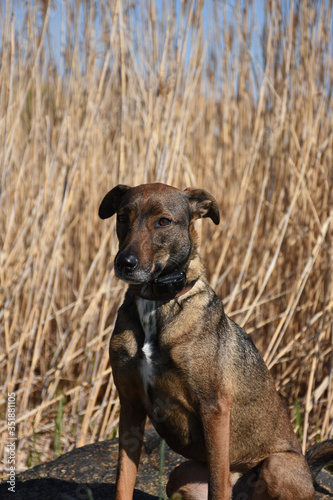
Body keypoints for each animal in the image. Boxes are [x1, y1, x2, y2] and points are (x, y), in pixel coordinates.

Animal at [98, 184, 332, 500]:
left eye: (163, 221)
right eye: (123, 217)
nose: (125, 263)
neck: (157, 304)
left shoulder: (214, 408)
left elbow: (218, 482)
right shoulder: (131, 406)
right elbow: (123, 480)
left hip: (278, 465)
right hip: (180, 474)